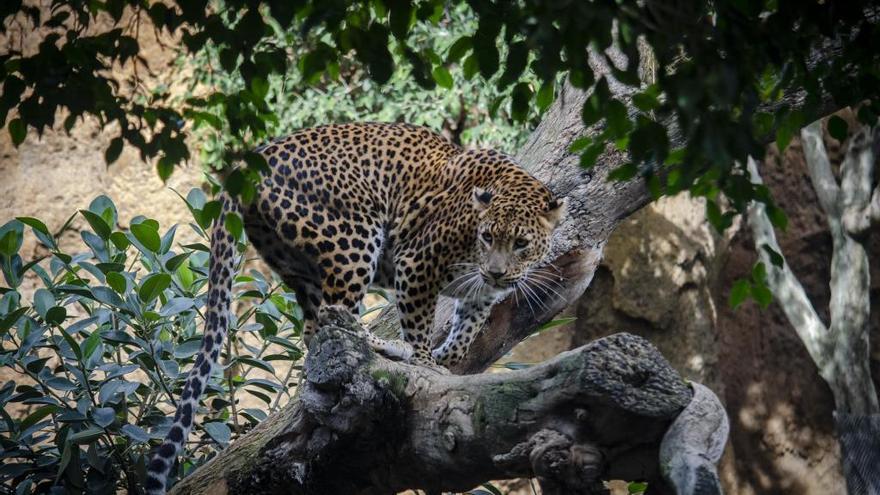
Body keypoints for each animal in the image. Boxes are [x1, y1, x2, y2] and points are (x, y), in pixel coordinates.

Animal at [146, 122, 564, 494]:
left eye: (521, 243)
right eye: (489, 236)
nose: (496, 271)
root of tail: (253, 159)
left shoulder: (480, 295)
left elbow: (466, 332)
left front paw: (448, 360)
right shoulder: (417, 262)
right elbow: (419, 322)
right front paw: (425, 362)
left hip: (297, 264)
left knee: (315, 330)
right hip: (353, 243)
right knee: (338, 318)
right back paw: (385, 346)